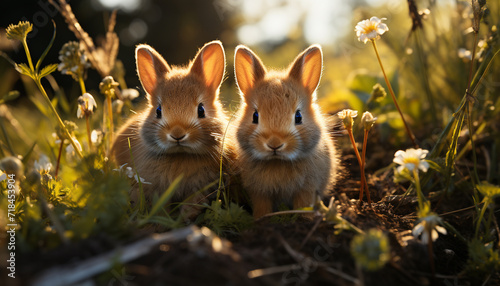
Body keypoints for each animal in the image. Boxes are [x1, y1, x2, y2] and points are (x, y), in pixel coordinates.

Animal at [232, 44, 338, 219]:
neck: (278, 162)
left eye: (298, 116)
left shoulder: (307, 188)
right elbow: (262, 206)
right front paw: (260, 219)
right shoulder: (259, 192)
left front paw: (304, 218)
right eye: (255, 116)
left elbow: (303, 203)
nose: (274, 144)